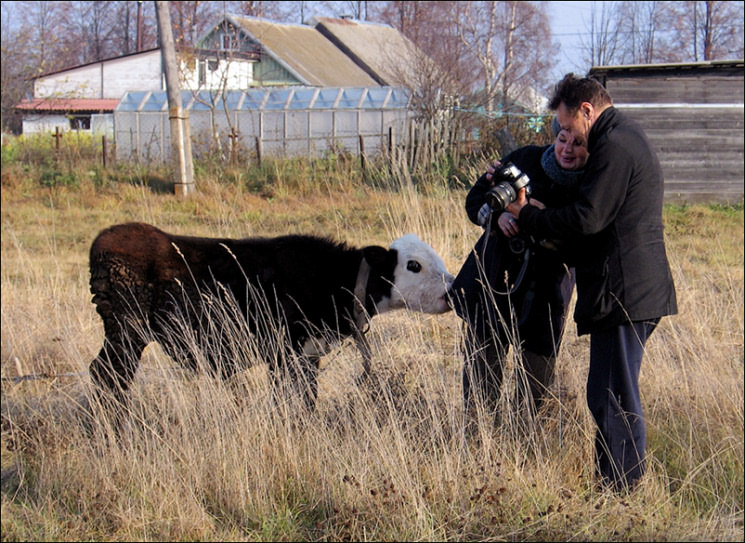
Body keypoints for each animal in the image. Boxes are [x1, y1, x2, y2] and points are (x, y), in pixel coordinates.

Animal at [85, 223, 450, 410]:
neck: (335, 278)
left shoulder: (309, 354)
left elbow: (307, 396)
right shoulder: (283, 353)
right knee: (108, 376)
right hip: (126, 333)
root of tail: (105, 238)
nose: (451, 291)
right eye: (413, 265)